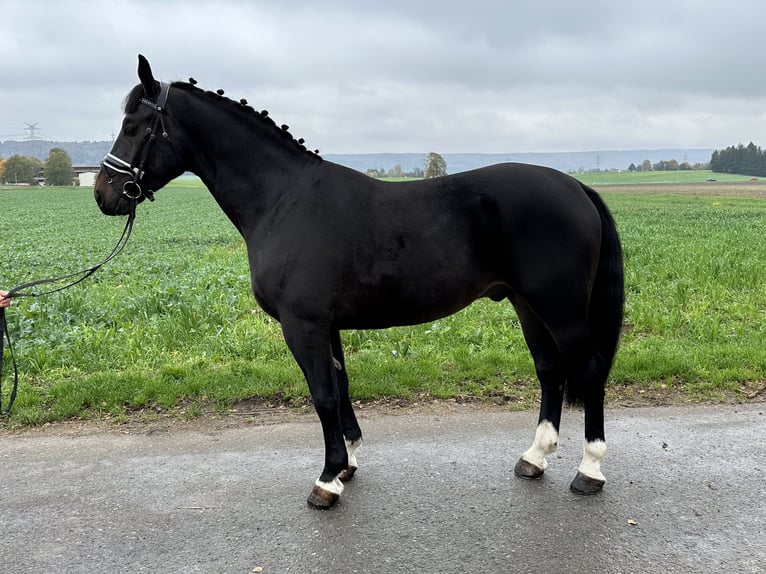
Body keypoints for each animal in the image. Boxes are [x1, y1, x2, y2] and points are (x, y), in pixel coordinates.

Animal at [94, 56, 624, 510]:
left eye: (134, 126)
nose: (104, 194)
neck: (284, 200)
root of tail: (577, 186)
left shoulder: (303, 325)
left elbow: (323, 395)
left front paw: (327, 481)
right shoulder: (325, 325)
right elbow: (341, 387)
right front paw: (347, 463)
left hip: (560, 309)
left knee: (590, 369)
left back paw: (590, 470)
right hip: (526, 304)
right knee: (550, 370)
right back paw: (534, 457)